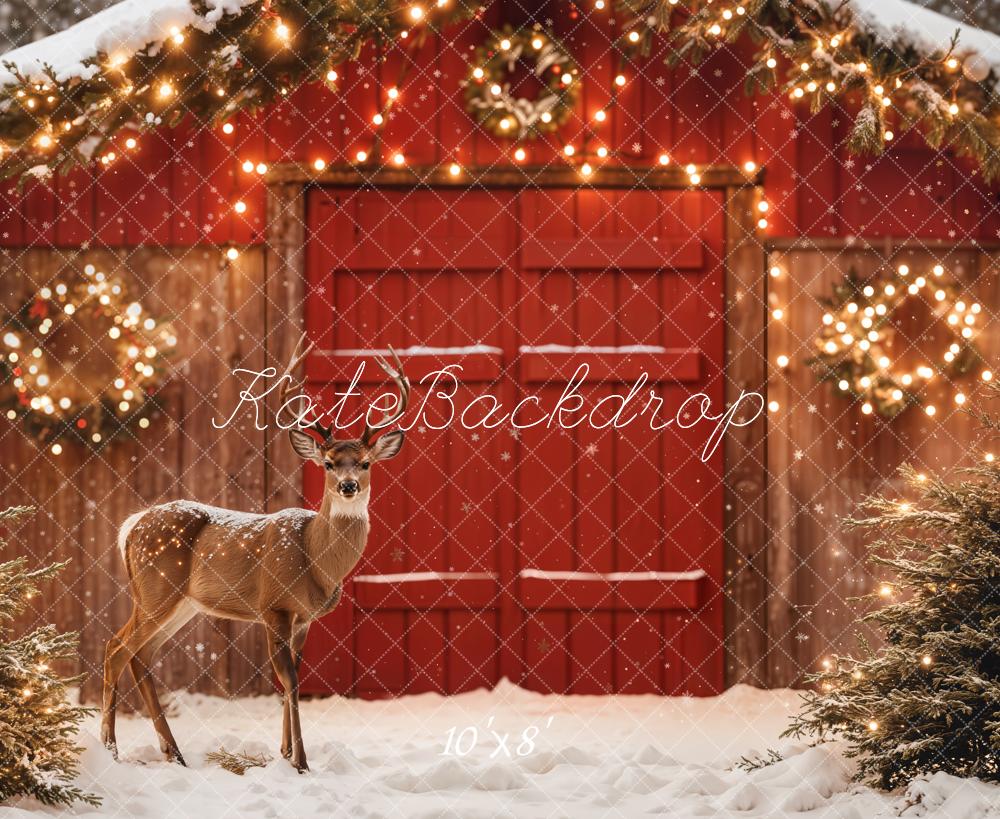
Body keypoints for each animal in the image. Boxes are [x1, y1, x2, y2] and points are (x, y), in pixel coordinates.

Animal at [101, 335, 409, 772]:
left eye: (365, 463)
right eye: (328, 463)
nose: (348, 486)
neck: (315, 557)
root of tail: (132, 526)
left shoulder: (303, 617)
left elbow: (293, 676)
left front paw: (284, 752)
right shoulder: (273, 605)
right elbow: (290, 681)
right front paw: (300, 762)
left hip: (180, 603)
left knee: (140, 655)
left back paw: (173, 753)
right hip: (155, 591)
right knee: (116, 648)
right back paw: (110, 750)